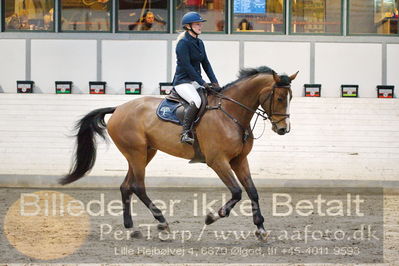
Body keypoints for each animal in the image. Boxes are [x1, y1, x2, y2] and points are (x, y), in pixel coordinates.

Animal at [59, 66, 296, 241]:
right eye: (280, 98)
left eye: (290, 97)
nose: (283, 129)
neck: (231, 113)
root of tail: (118, 108)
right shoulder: (218, 161)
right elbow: (237, 192)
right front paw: (212, 217)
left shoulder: (239, 160)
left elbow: (252, 192)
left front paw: (261, 229)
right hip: (136, 153)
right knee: (137, 186)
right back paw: (162, 223)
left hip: (145, 152)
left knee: (126, 186)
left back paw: (132, 228)